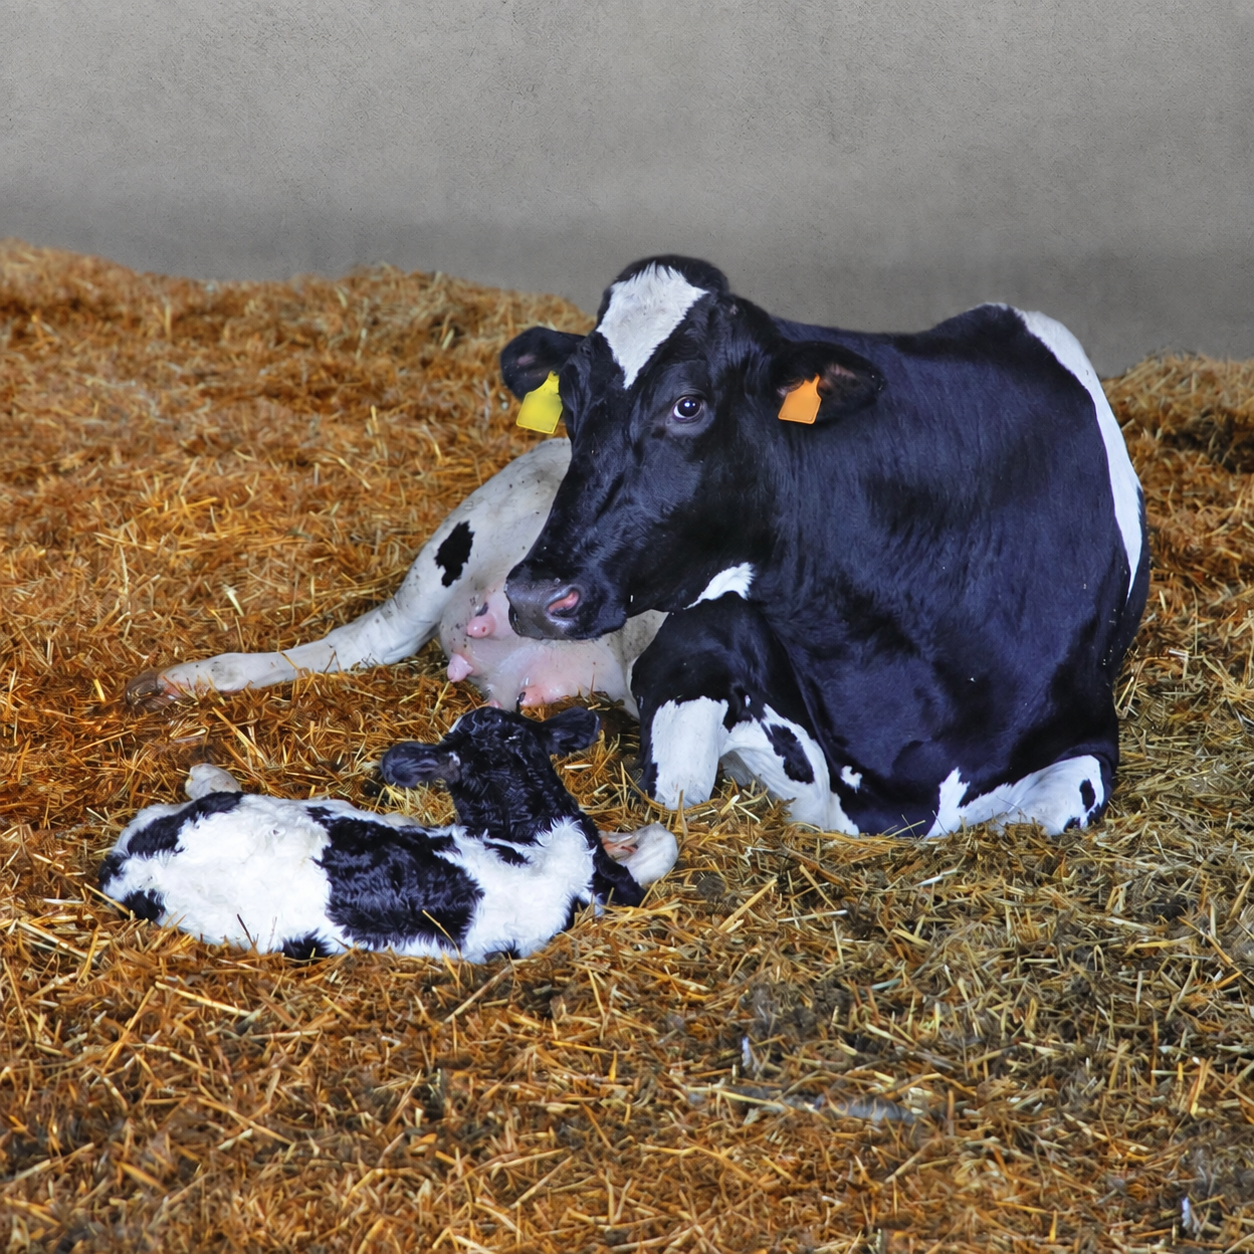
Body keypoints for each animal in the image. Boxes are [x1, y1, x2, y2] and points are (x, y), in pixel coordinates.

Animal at [500, 255, 1148, 838]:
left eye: (688, 405)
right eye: (570, 404)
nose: (534, 594)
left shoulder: (1089, 737)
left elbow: (1042, 816)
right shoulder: (689, 650)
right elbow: (681, 785)